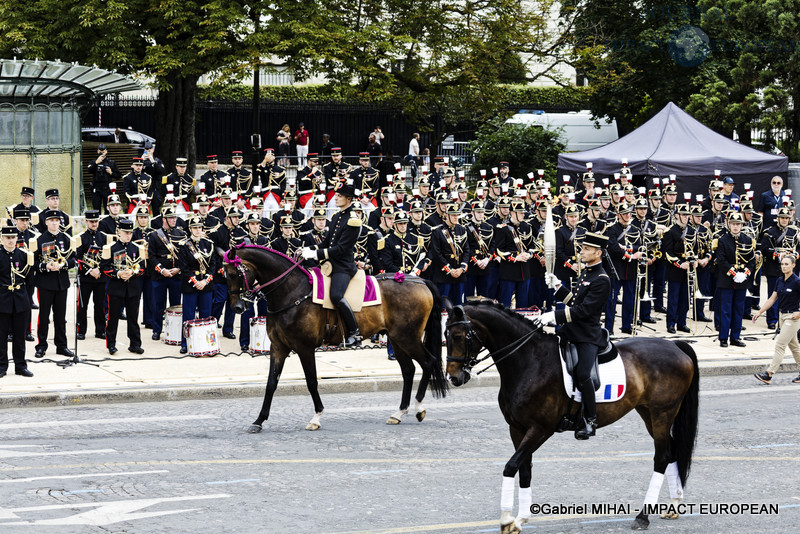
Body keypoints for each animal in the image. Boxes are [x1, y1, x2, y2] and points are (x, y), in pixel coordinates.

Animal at [222, 245, 446, 434]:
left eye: (233, 274)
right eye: (224, 274)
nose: (237, 307)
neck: (291, 293)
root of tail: (419, 280)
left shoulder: (304, 347)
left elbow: (311, 381)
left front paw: (316, 417)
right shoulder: (278, 348)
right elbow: (271, 384)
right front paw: (258, 421)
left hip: (408, 338)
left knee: (429, 362)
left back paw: (418, 408)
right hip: (396, 339)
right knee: (408, 370)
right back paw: (398, 413)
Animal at [444, 300, 700, 532]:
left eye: (459, 336)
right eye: (445, 334)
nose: (454, 378)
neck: (530, 361)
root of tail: (676, 346)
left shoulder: (540, 429)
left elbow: (510, 466)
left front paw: (507, 520)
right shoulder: (517, 428)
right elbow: (524, 469)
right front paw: (519, 520)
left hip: (662, 412)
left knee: (661, 457)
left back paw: (643, 517)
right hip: (648, 412)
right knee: (671, 451)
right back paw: (673, 504)